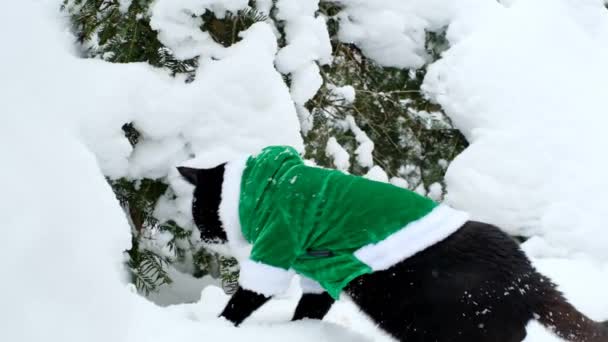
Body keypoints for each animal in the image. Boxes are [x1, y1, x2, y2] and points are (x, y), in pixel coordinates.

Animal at [178, 163, 608, 342]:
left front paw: (217, 328)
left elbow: (244, 300)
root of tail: (528, 275)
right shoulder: (320, 274)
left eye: (198, 210)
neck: (271, 186)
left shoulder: (280, 245)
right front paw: (300, 333)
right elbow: (310, 309)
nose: (203, 237)